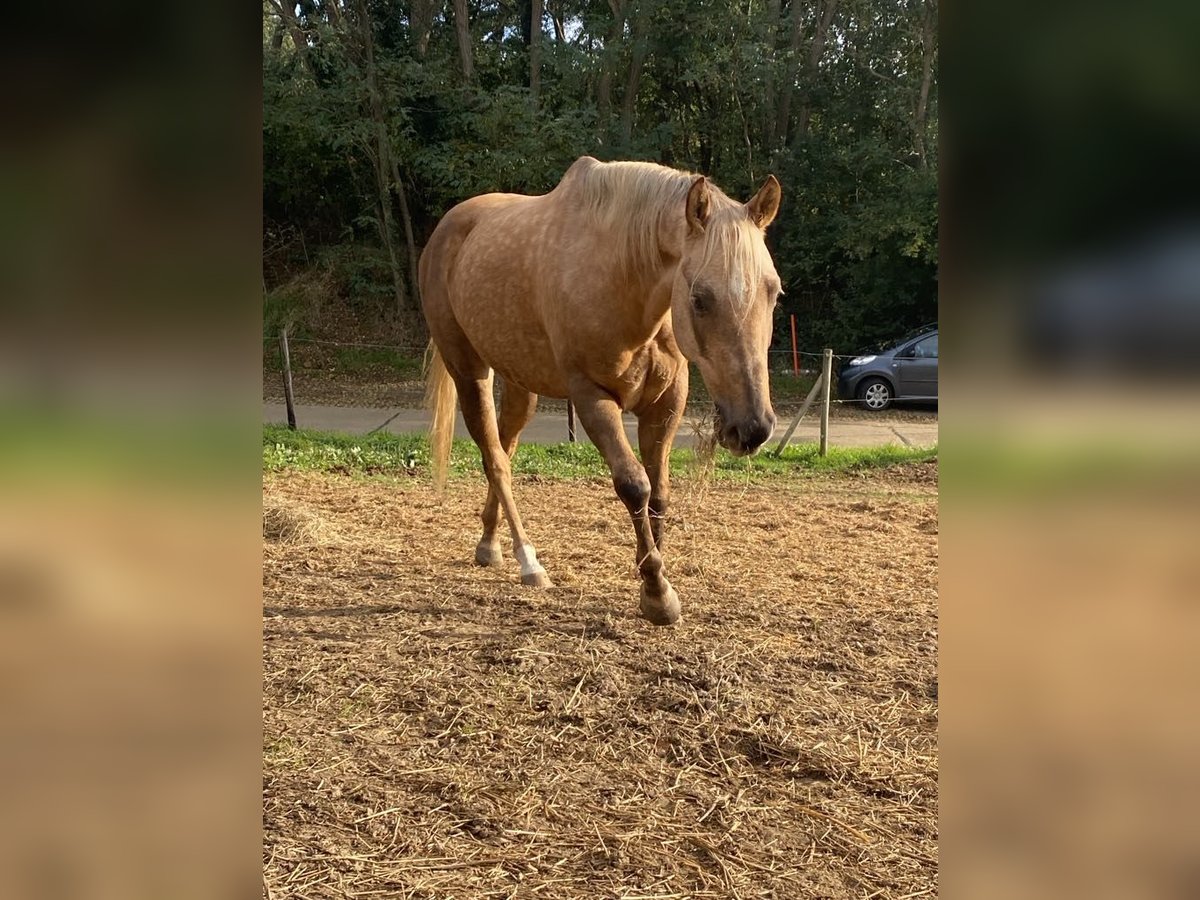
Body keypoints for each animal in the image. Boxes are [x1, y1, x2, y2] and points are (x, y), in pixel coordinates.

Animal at [417, 157, 782, 628]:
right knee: (495, 460)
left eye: (774, 291)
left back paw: (489, 544)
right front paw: (657, 592)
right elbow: (635, 486)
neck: (622, 279)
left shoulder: (665, 403)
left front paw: (651, 573)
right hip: (469, 371)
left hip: (519, 382)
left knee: (506, 447)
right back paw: (528, 561)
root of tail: (448, 228)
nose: (752, 427)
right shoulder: (592, 397)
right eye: (701, 298)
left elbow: (659, 492)